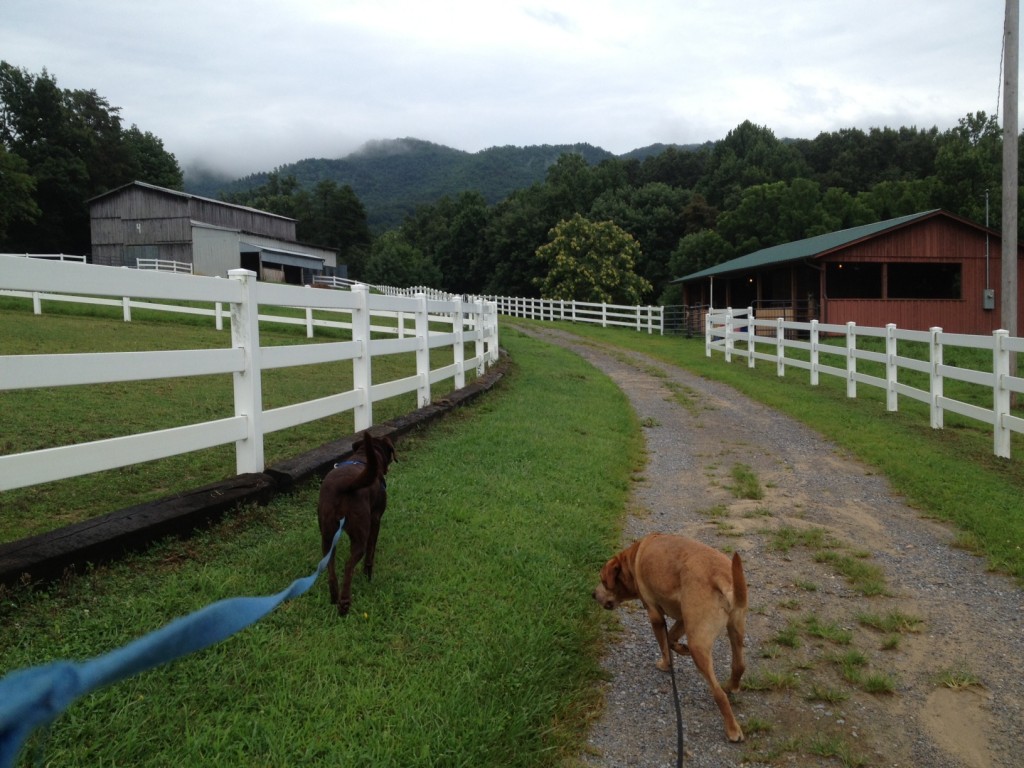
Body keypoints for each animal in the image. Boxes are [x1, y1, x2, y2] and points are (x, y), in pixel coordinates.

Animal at [317, 434, 397, 618]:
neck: (362, 458)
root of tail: (345, 485)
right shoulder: (376, 520)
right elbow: (370, 552)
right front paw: (368, 576)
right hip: (359, 534)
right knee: (349, 565)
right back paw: (344, 603)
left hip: (327, 535)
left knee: (330, 565)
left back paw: (334, 596)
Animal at [593, 532, 745, 741]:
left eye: (602, 580)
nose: (593, 594)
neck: (632, 558)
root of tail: (721, 576)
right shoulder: (683, 618)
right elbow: (672, 639)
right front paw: (681, 649)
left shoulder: (655, 615)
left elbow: (664, 645)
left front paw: (666, 665)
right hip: (734, 630)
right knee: (739, 666)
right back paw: (731, 686)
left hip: (699, 644)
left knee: (719, 694)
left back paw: (732, 729)